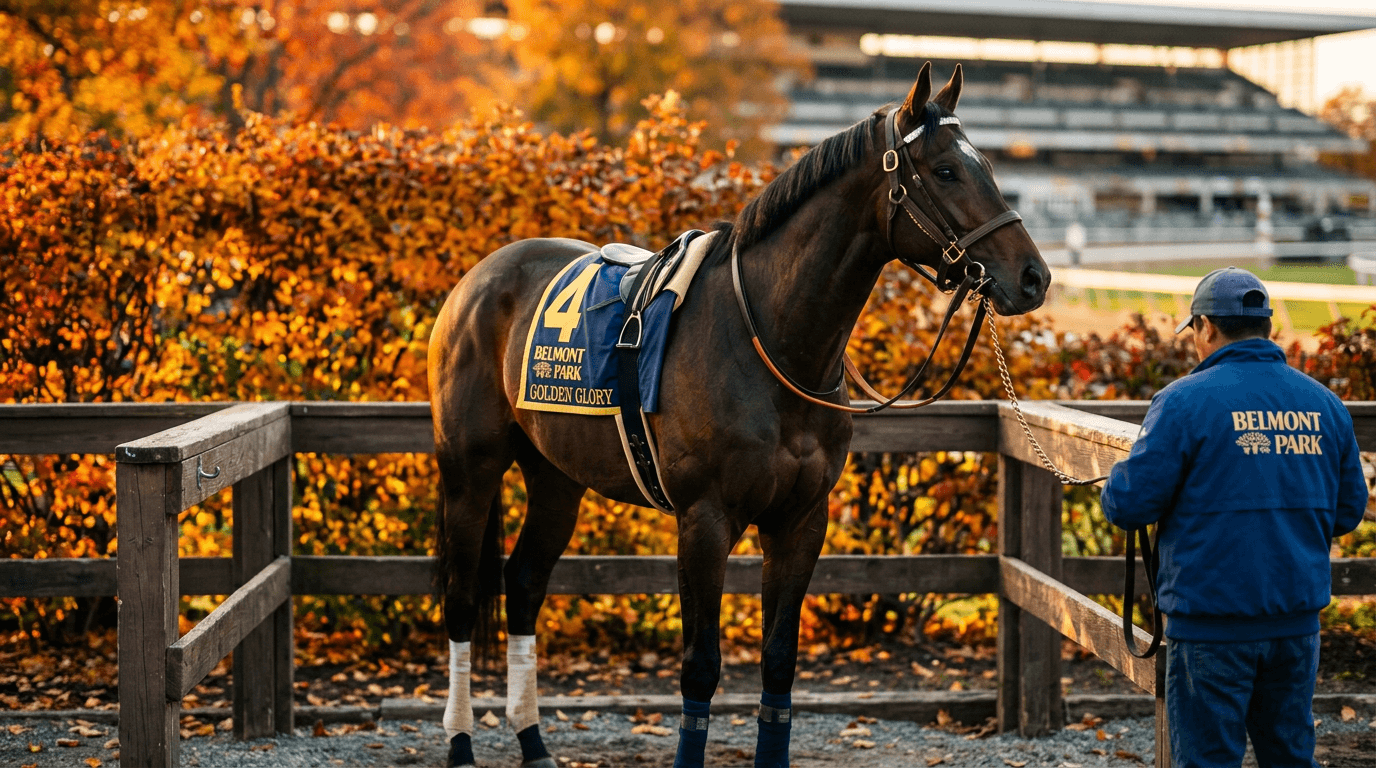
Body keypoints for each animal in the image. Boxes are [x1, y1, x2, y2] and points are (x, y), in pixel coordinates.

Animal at [427, 61, 1049, 768]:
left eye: (987, 166)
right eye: (945, 170)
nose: (1033, 277)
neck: (769, 341)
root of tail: (478, 278)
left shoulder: (801, 520)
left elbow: (779, 659)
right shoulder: (706, 520)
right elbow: (701, 666)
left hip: (556, 477)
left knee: (525, 584)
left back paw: (533, 742)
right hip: (469, 472)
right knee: (460, 598)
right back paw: (460, 744)